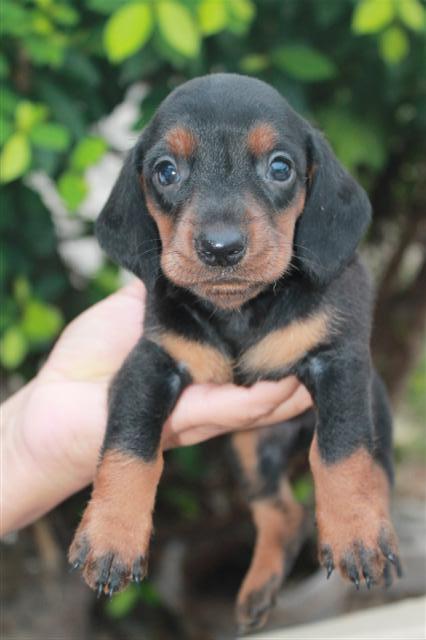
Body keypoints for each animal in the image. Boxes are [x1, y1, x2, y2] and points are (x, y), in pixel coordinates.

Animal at [69, 73, 401, 633]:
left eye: (280, 167)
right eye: (166, 171)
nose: (221, 248)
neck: (241, 311)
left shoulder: (340, 361)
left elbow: (340, 450)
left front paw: (355, 530)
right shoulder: (150, 363)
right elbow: (129, 446)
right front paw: (111, 534)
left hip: (373, 406)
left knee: (376, 470)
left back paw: (380, 536)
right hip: (249, 449)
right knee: (284, 514)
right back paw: (259, 589)